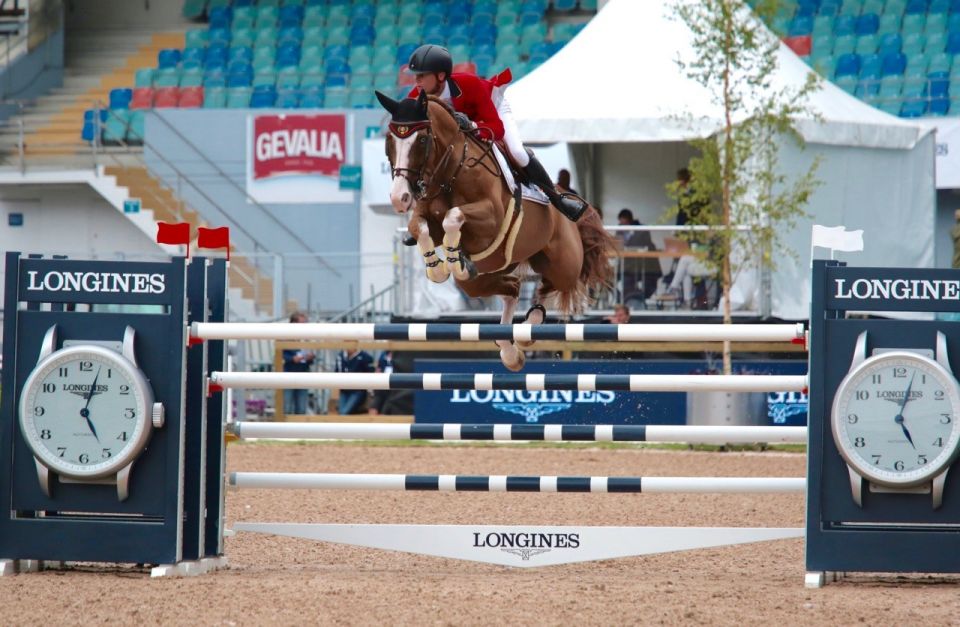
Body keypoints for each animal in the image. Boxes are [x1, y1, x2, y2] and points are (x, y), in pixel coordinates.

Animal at [376, 91, 616, 370]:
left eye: (422, 139)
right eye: (389, 142)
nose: (399, 198)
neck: (451, 172)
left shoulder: (490, 218)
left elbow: (452, 217)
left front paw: (453, 261)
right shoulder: (425, 217)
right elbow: (420, 227)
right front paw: (438, 268)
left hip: (563, 263)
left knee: (549, 285)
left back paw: (527, 328)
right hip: (485, 277)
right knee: (513, 287)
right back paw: (510, 350)